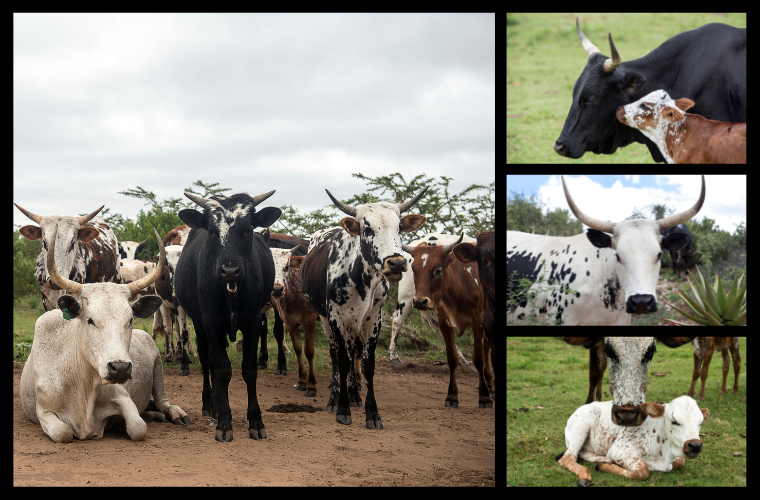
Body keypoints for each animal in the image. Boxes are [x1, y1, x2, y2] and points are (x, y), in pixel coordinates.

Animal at [20, 226, 190, 443]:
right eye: (90, 320)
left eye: (130, 319)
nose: (120, 368)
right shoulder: (44, 411)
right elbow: (63, 433)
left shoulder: (123, 398)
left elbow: (138, 428)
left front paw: (122, 424)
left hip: (158, 364)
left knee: (163, 402)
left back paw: (173, 414)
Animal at [175, 191, 281, 442]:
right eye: (213, 231)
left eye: (248, 229)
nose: (230, 270)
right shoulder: (211, 322)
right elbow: (222, 369)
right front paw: (224, 422)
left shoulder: (253, 321)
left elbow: (249, 369)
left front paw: (256, 421)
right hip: (200, 324)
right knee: (207, 359)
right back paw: (209, 403)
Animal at [301, 188, 427, 428]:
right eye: (367, 228)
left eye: (399, 227)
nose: (396, 263)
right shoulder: (336, 317)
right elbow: (342, 360)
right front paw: (342, 409)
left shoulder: (373, 317)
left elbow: (367, 364)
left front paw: (372, 412)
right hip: (325, 318)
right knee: (336, 354)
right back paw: (335, 397)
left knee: (353, 352)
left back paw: (354, 395)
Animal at [402, 234, 493, 408]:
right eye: (414, 270)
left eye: (438, 270)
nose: (419, 301)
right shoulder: (444, 323)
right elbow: (452, 358)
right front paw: (452, 396)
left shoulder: (478, 322)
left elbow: (478, 358)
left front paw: (484, 397)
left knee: (486, 348)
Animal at [556, 396, 709, 486]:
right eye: (675, 421)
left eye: (700, 423)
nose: (695, 445)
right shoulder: (619, 450)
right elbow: (642, 471)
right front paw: (604, 466)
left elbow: (680, 462)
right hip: (584, 423)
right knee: (568, 457)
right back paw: (586, 475)